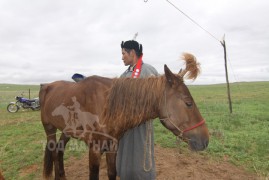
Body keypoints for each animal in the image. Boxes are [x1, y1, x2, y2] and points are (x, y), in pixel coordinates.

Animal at [39, 52, 208, 179]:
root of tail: (47, 85)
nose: (205, 140)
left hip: (66, 130)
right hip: (49, 128)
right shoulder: (94, 149)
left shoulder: (113, 145)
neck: (106, 105)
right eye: (188, 103)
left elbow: (112, 173)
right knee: (54, 152)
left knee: (59, 151)